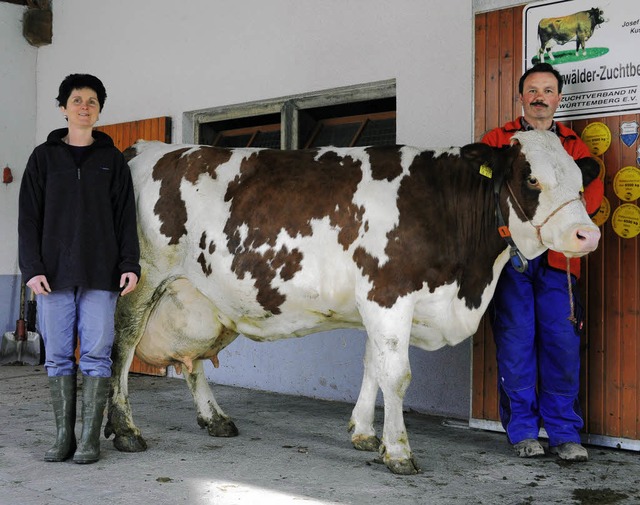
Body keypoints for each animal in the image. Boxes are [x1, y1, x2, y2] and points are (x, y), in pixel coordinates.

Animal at [105, 129, 600, 472]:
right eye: (531, 178)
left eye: (580, 180)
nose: (588, 234)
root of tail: (144, 148)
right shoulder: (388, 294)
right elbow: (397, 375)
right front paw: (397, 451)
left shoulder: (377, 302)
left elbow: (373, 367)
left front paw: (363, 434)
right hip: (141, 280)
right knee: (122, 346)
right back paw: (125, 429)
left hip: (198, 298)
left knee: (191, 362)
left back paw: (212, 418)